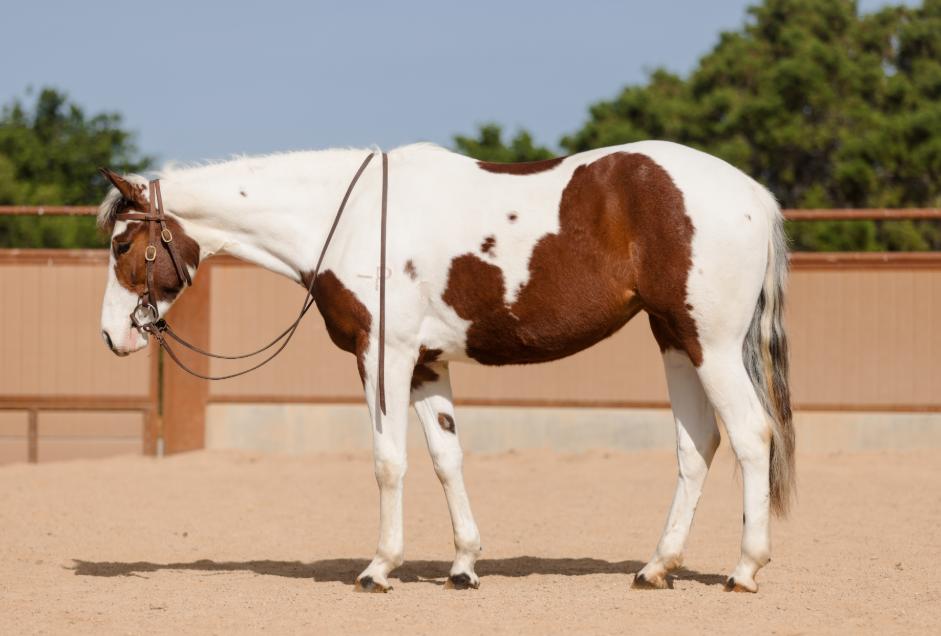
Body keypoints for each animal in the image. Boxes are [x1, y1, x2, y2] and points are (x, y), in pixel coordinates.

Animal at [97, 139, 792, 592]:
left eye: (123, 243)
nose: (111, 335)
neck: (350, 219)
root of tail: (754, 194)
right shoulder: (428, 364)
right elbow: (445, 458)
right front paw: (463, 564)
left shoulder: (384, 356)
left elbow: (389, 461)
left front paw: (380, 568)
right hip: (676, 339)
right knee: (697, 445)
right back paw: (657, 566)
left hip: (712, 343)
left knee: (751, 435)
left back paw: (745, 569)